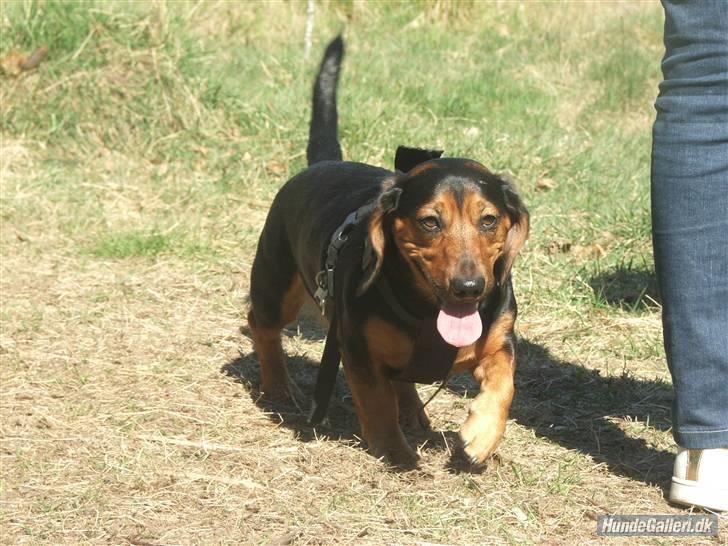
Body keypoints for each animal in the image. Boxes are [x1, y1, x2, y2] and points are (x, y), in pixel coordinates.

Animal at [246, 37, 528, 464]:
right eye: (430, 222)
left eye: (489, 220)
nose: (469, 289)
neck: (429, 313)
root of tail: (326, 162)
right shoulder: (358, 349)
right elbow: (376, 401)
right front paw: (394, 450)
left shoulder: (499, 341)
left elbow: (504, 382)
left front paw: (481, 435)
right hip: (276, 282)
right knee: (262, 326)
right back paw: (278, 386)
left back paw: (412, 410)